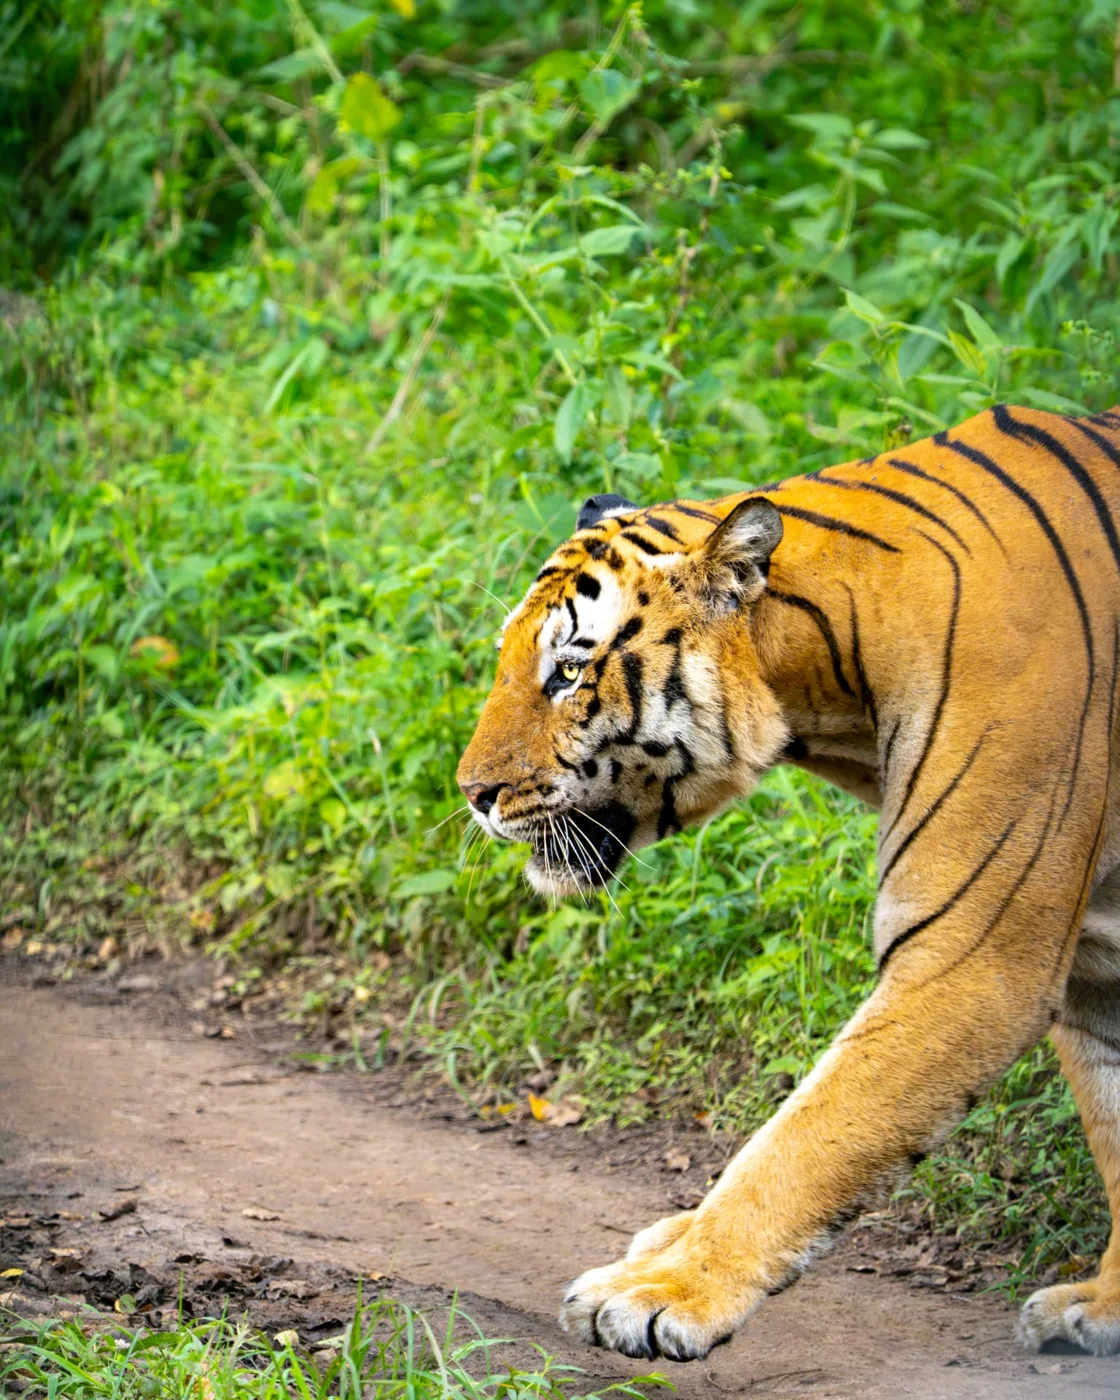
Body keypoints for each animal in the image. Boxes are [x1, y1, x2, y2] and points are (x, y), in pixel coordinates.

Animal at [456, 404, 1120, 1361]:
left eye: (570, 671)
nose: (471, 793)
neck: (839, 684)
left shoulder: (971, 960)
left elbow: (802, 1141)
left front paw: (662, 1293)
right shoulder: (1096, 964)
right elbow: (1116, 1124)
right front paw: (1103, 1306)